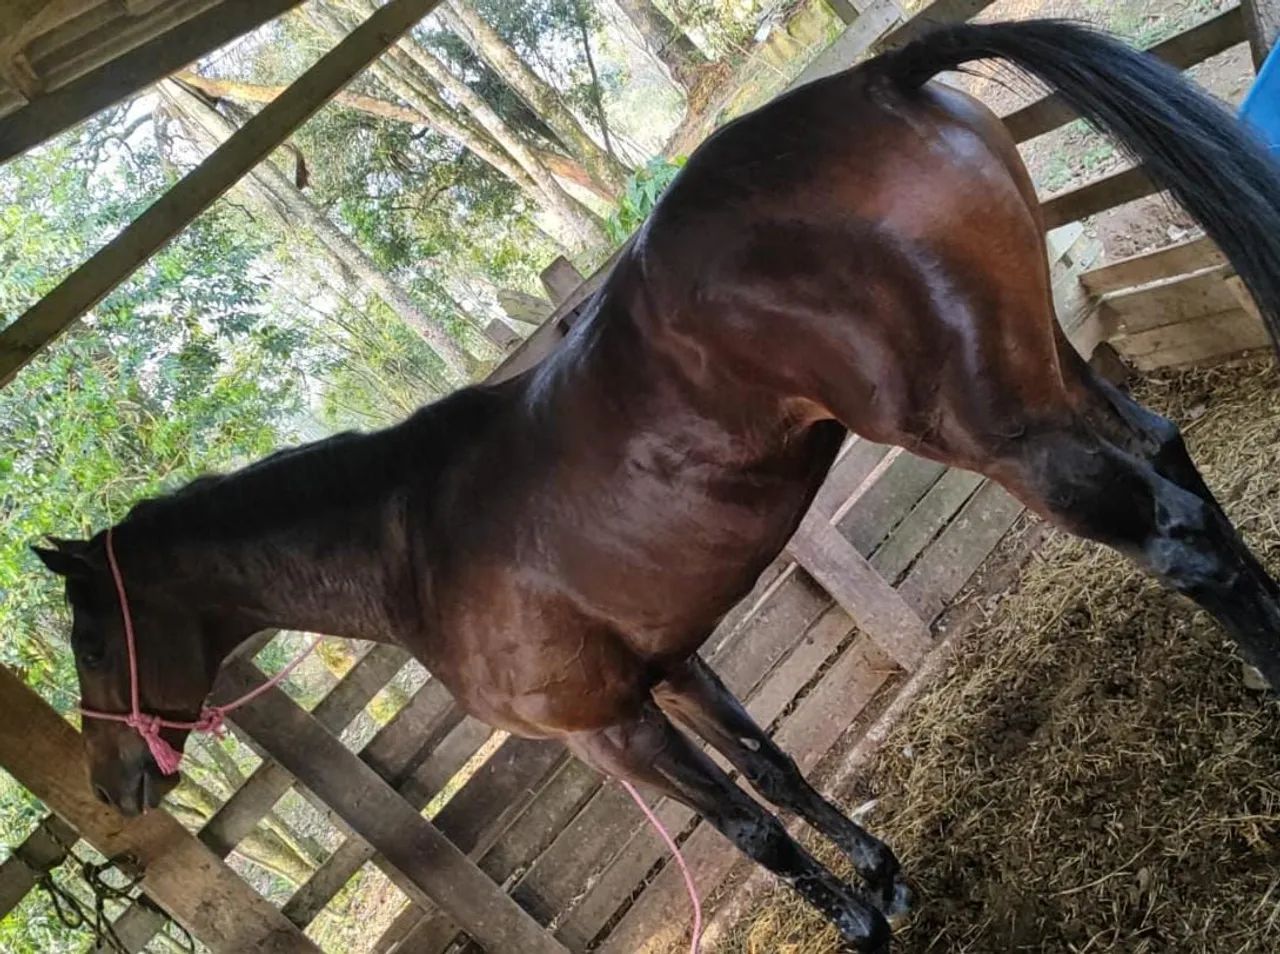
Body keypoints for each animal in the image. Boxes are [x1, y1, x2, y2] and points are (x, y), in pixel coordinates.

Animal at [33, 20, 1280, 952]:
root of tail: (873, 83)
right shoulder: (671, 668)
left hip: (993, 428)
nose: (111, 784)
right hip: (1045, 367)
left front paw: (859, 926)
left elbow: (746, 829)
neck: (407, 545)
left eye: (91, 636)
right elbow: (773, 771)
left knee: (1174, 538)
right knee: (1170, 457)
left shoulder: (609, 731)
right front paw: (881, 879)